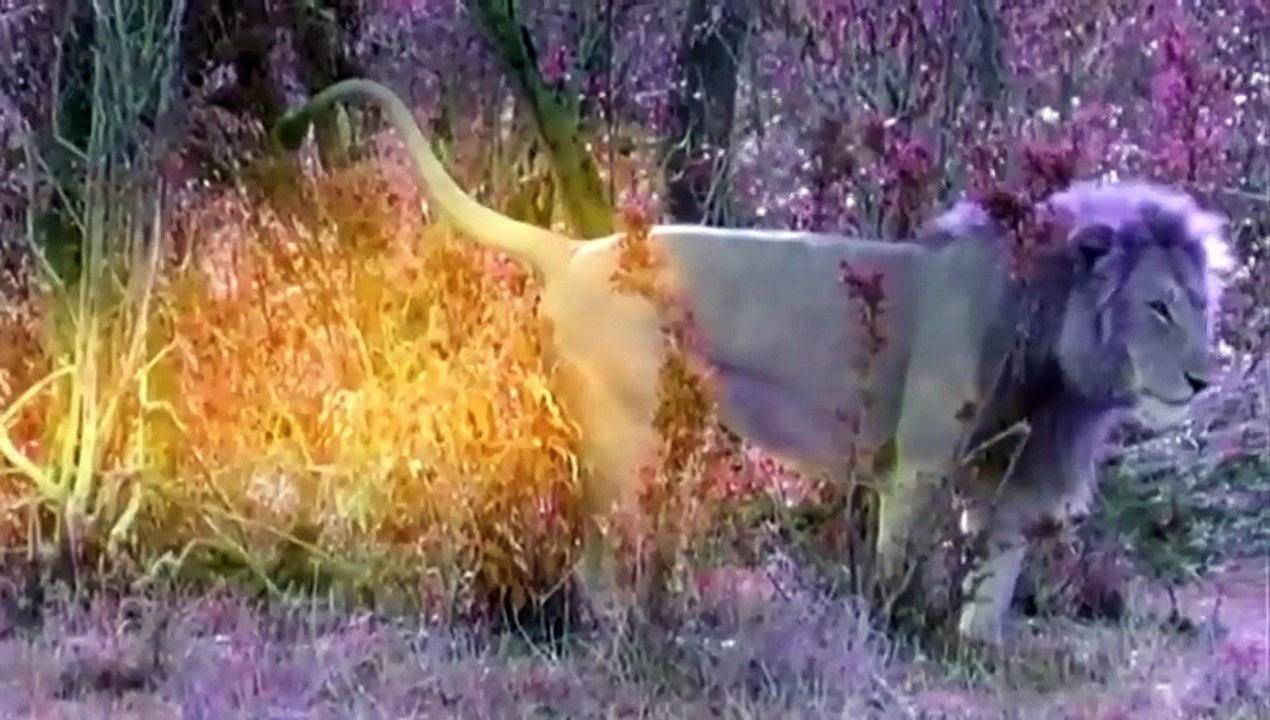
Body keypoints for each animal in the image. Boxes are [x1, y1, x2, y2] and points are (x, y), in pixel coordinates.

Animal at [273, 79, 1232, 646]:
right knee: (596, 547)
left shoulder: (1013, 476)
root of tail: (577, 249)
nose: (1203, 377)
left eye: (1200, 304)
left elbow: (991, 582)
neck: (1053, 350)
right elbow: (898, 569)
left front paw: (975, 650)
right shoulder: (920, 465)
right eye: (1157, 306)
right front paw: (893, 636)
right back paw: (623, 634)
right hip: (624, 430)